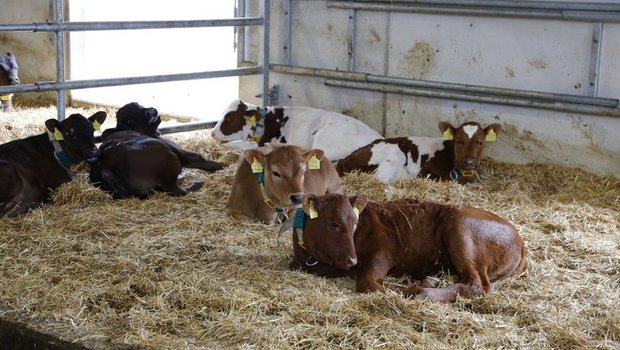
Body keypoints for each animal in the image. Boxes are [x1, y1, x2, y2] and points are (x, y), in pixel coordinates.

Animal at [89, 102, 225, 198]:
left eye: (139, 105)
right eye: (128, 120)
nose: (151, 110)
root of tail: (105, 165)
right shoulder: (180, 152)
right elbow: (199, 159)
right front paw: (223, 166)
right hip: (167, 157)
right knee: (177, 190)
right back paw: (197, 183)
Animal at [290, 193, 528, 302]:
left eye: (355, 222)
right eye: (333, 223)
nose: (352, 260)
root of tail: (519, 239)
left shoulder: (386, 248)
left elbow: (368, 283)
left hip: (462, 230)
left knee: (476, 284)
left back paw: (423, 290)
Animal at [336, 121, 502, 185]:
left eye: (481, 141)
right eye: (458, 141)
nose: (470, 162)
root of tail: (344, 159)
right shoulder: (425, 171)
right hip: (394, 154)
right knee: (379, 179)